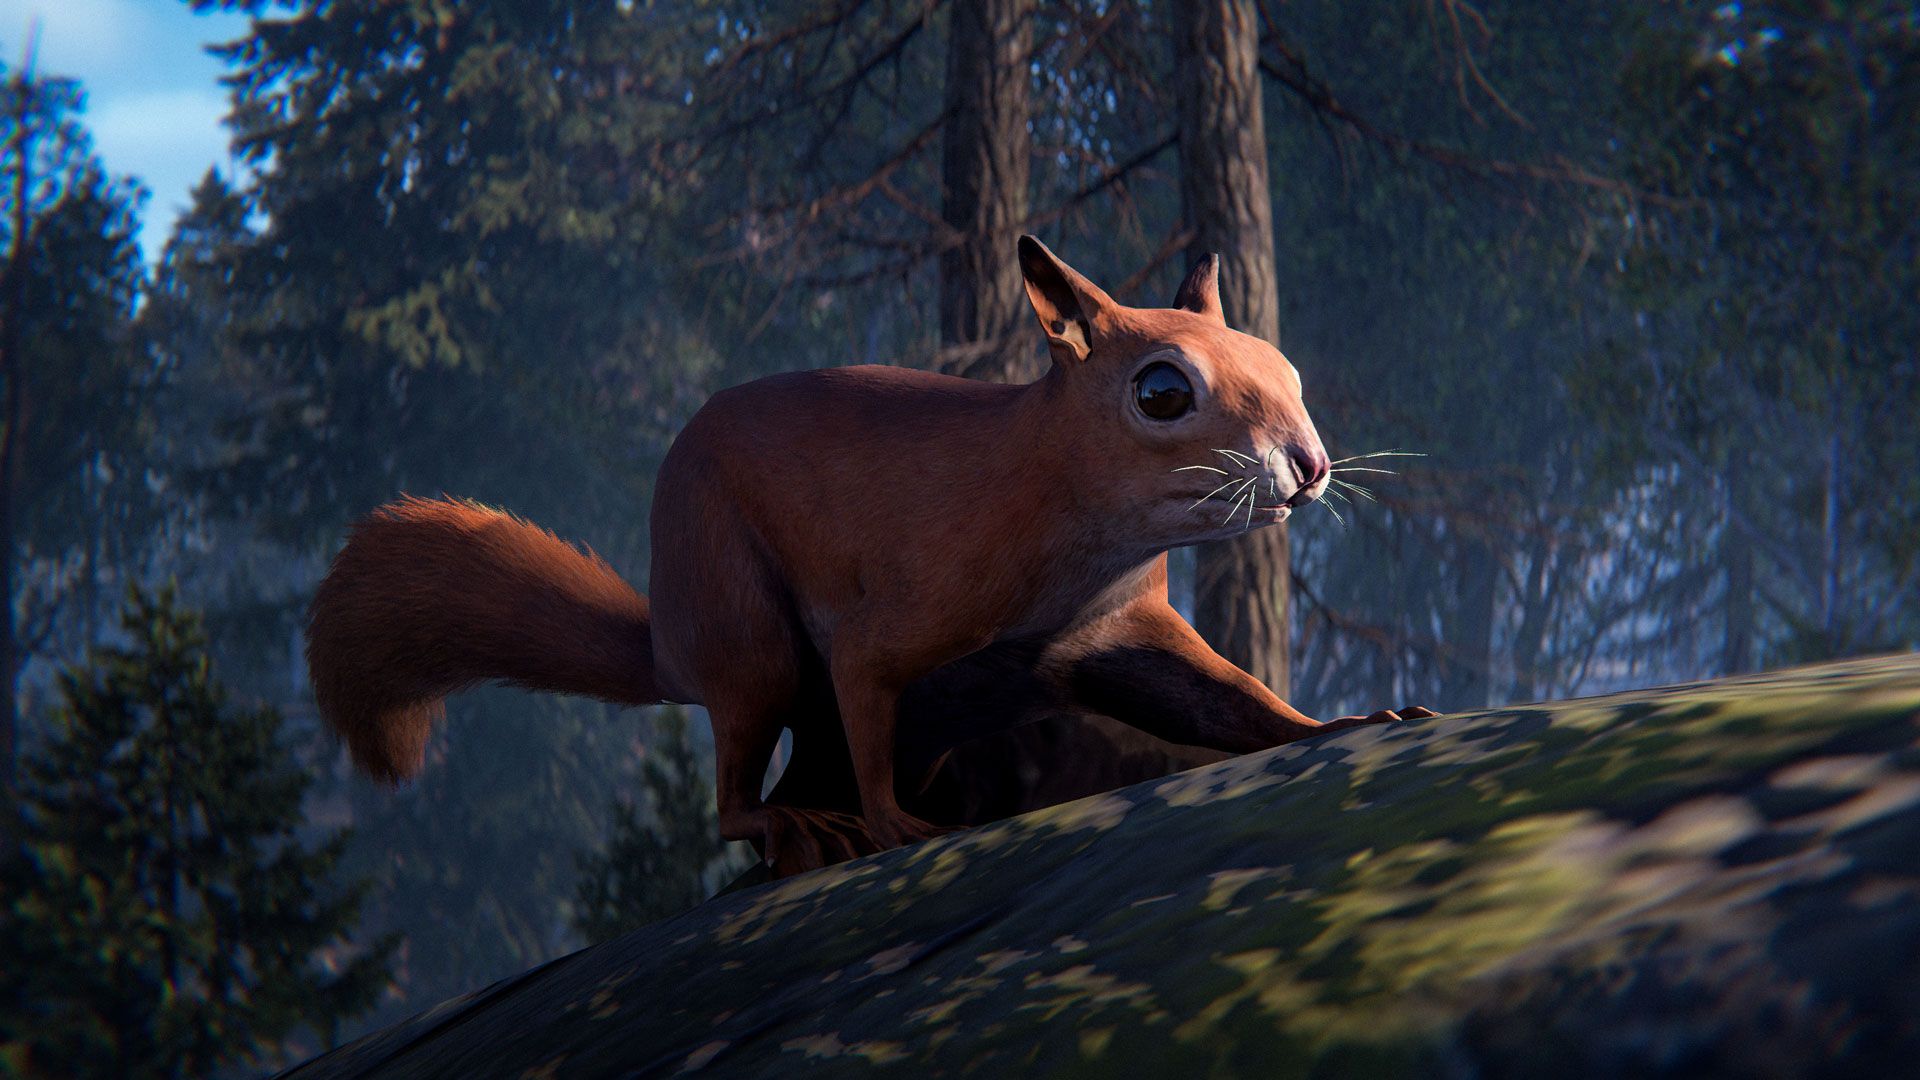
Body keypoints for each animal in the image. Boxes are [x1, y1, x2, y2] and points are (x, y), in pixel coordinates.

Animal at [306, 236, 1435, 875]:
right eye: (1163, 392)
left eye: (1287, 368)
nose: (1310, 466)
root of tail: (669, 640)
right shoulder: (906, 611)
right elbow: (865, 685)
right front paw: (899, 825)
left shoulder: (1118, 633)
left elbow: (1227, 700)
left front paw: (1345, 721)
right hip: (745, 631)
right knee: (739, 790)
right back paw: (808, 828)